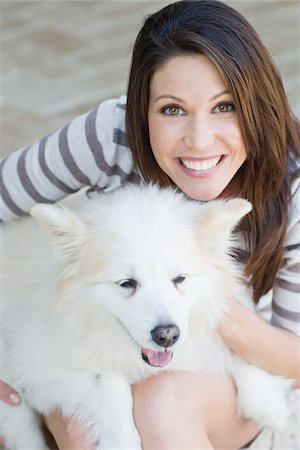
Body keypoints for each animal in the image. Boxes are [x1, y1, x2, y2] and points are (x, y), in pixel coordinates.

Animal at [0, 185, 290, 448]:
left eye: (179, 279)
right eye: (127, 283)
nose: (167, 336)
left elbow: (237, 350)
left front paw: (267, 400)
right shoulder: (39, 365)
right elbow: (110, 384)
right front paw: (122, 439)